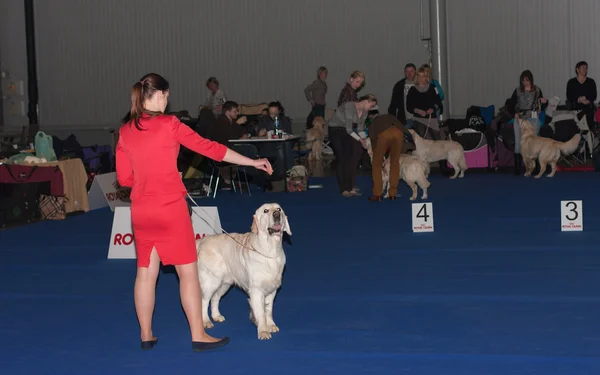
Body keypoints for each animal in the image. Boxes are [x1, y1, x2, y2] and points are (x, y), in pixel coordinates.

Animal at [197, 204, 290, 342]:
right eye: (265, 211)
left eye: (279, 209)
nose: (276, 214)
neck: (270, 250)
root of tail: (202, 241)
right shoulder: (256, 291)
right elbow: (261, 313)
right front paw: (263, 331)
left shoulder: (272, 290)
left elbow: (268, 310)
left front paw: (271, 325)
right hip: (211, 281)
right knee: (204, 301)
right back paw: (206, 321)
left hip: (225, 283)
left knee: (215, 298)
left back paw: (217, 316)